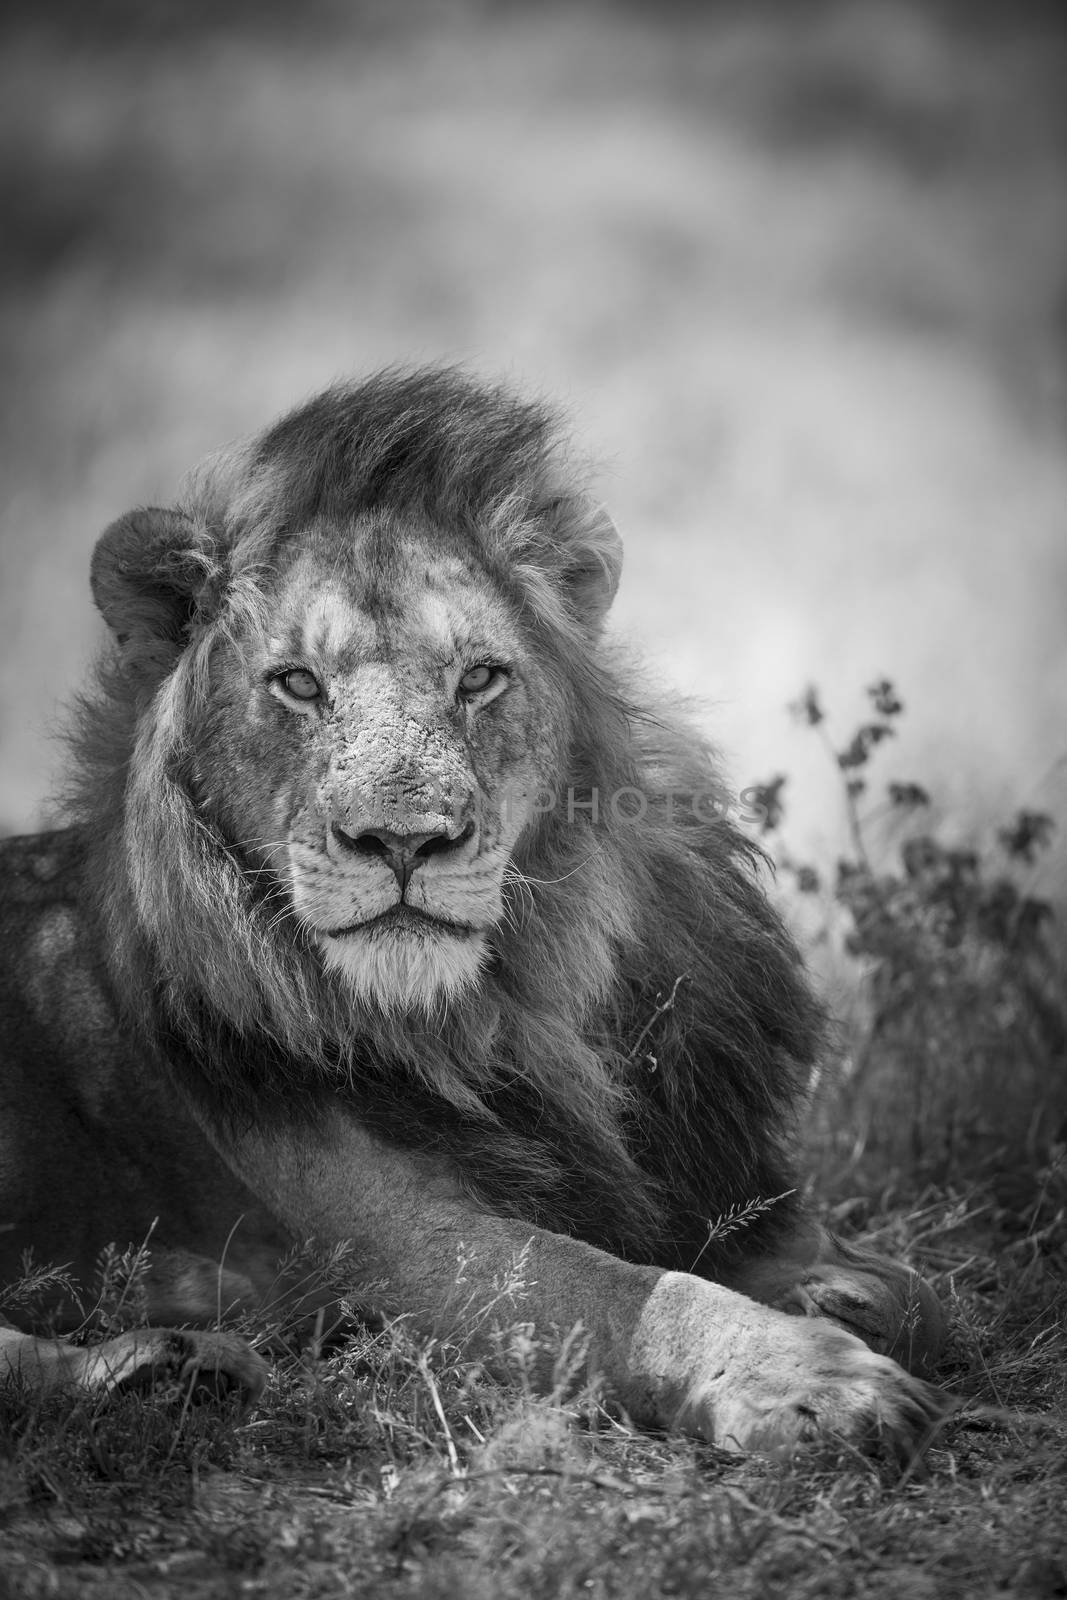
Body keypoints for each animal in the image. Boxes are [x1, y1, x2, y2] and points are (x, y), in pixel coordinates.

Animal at [2, 368, 953, 1459]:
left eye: (479, 678)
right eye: (297, 684)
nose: (403, 840)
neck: (514, 1006)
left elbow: (910, 1291)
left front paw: (837, 1290)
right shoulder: (394, 1250)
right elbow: (627, 1291)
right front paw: (808, 1377)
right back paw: (166, 1361)